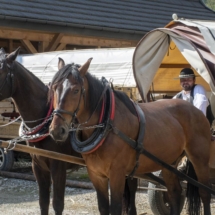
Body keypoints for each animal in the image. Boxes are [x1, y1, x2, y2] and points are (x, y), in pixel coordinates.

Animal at [49, 57, 212, 215]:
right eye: (54, 88)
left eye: (76, 90)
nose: (57, 130)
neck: (107, 125)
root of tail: (196, 111)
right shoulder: (96, 175)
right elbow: (103, 208)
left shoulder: (117, 174)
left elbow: (115, 208)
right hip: (169, 163)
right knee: (175, 193)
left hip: (199, 159)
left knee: (204, 193)